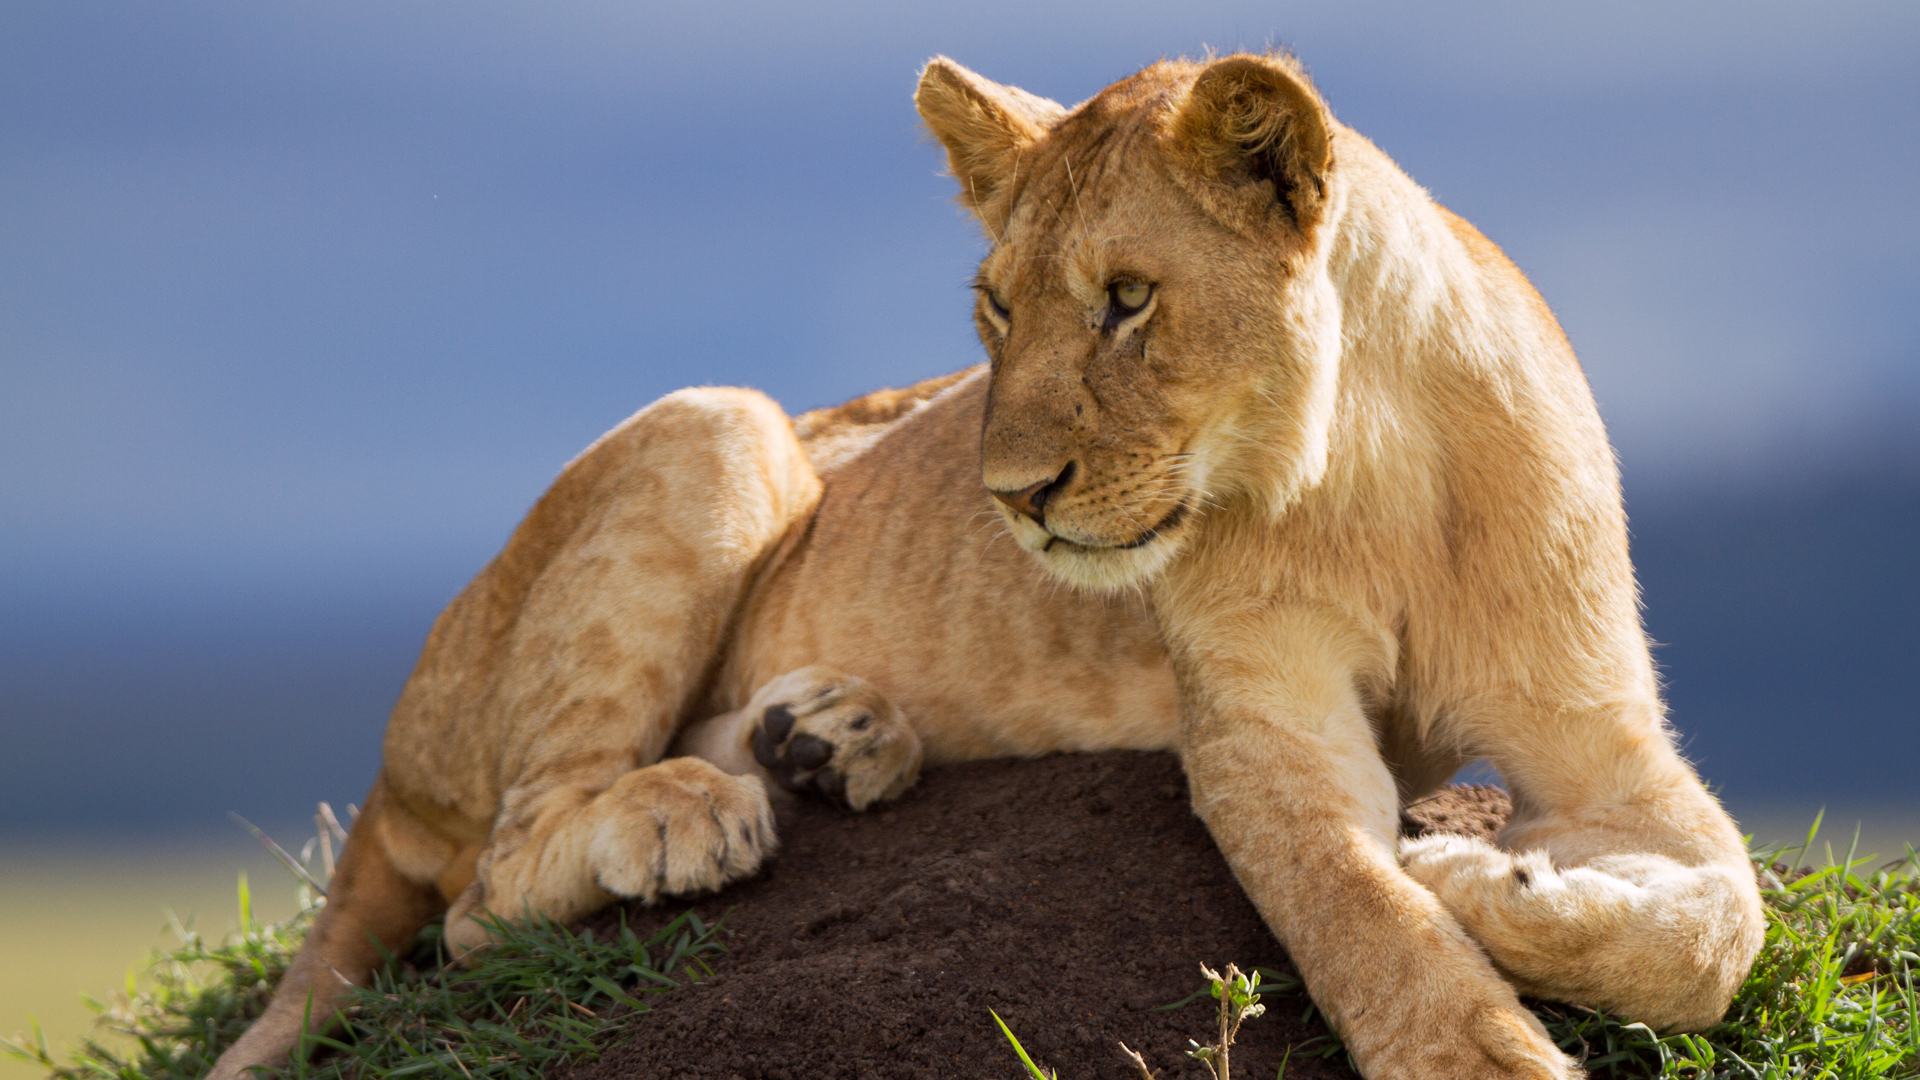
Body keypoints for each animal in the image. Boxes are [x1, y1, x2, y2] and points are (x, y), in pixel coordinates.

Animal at [211, 53, 1765, 1080]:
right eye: (996, 310)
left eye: (1129, 301)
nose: (1012, 498)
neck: (1367, 468)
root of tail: (389, 766)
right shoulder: (1262, 738)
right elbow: (1360, 913)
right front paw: (1469, 1001)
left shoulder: (1598, 730)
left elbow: (1721, 924)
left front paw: (1504, 886)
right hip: (717, 422)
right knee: (486, 897)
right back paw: (684, 812)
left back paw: (826, 739)